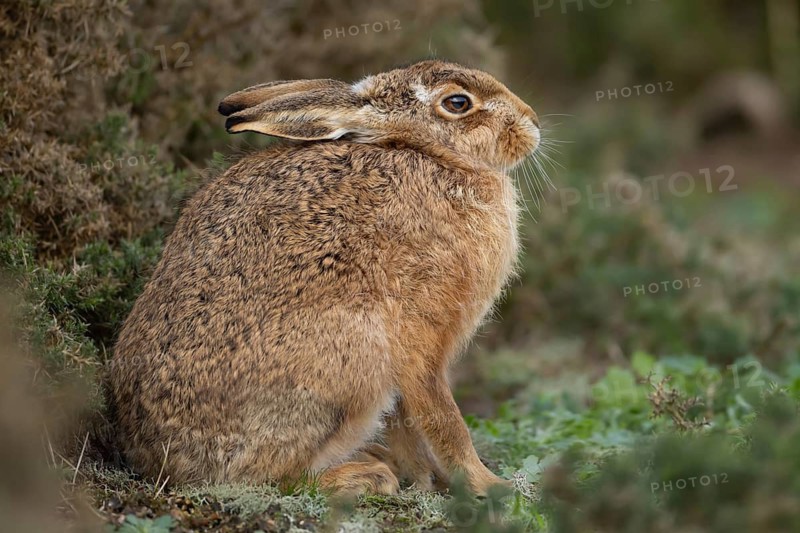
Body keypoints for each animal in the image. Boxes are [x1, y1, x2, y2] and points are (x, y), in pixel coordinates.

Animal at [108, 60, 541, 496]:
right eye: (458, 103)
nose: (533, 125)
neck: (431, 156)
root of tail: (159, 462)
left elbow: (407, 423)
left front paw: (425, 478)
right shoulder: (421, 334)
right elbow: (442, 418)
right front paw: (490, 485)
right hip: (354, 359)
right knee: (275, 479)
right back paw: (367, 475)